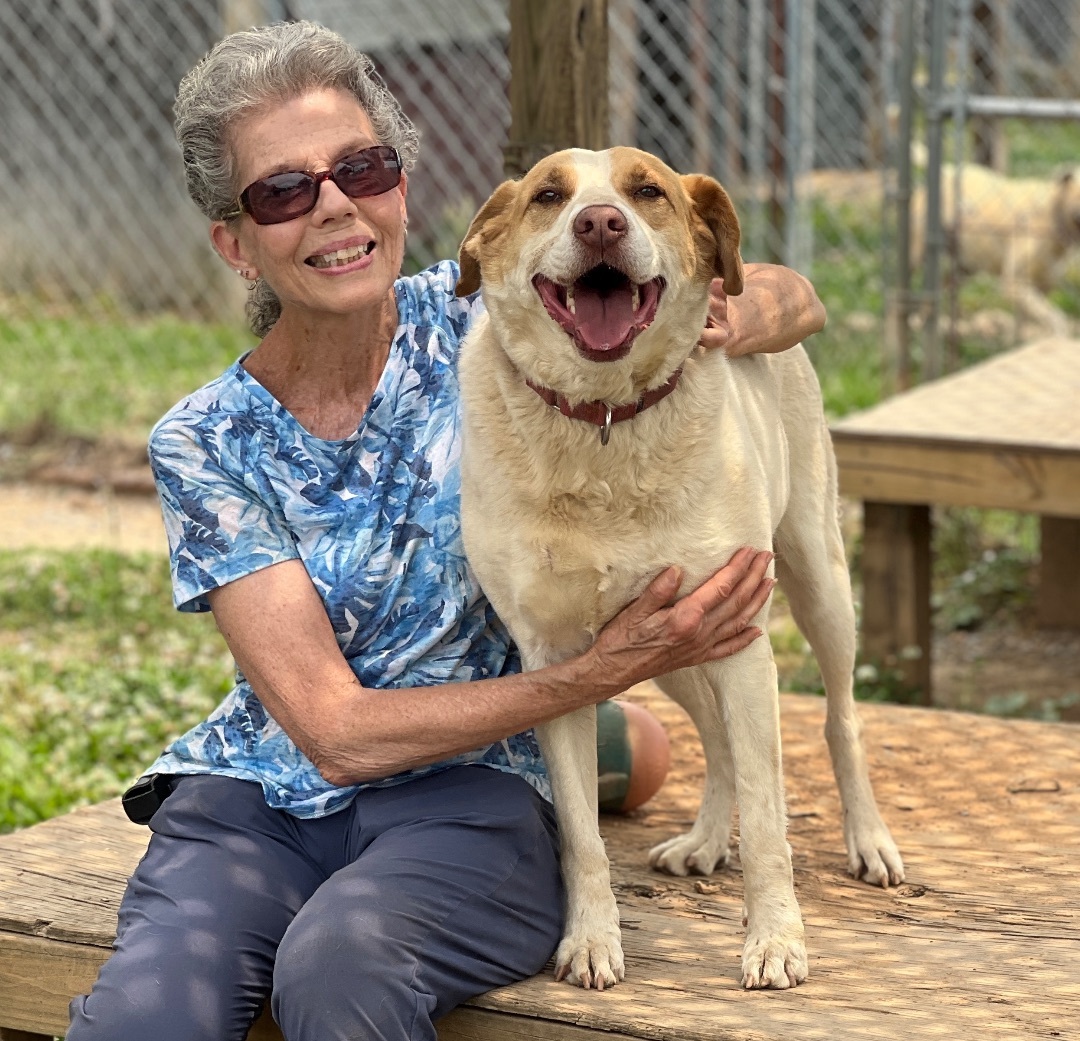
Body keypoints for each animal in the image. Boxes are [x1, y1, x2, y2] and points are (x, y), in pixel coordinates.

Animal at [453, 146, 902, 993]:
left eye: (647, 191)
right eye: (549, 195)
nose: (600, 223)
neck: (603, 423)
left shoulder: (741, 637)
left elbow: (769, 819)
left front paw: (775, 941)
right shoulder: (558, 661)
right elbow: (583, 835)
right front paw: (591, 940)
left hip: (817, 580)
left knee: (841, 718)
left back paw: (869, 839)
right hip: (669, 650)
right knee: (720, 741)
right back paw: (704, 839)